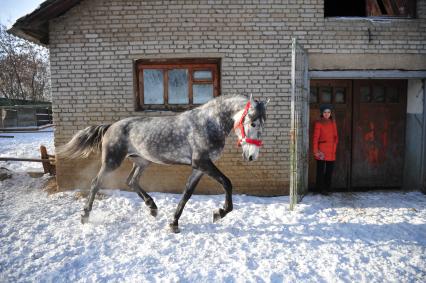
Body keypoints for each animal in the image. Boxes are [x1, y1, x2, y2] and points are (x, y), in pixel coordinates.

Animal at [58, 95, 268, 233]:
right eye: (252, 123)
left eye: (263, 124)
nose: (252, 156)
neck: (209, 123)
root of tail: (110, 126)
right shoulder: (202, 162)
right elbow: (227, 183)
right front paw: (220, 212)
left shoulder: (199, 168)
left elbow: (187, 193)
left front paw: (174, 223)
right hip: (112, 161)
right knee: (96, 183)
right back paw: (85, 216)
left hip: (142, 161)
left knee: (131, 181)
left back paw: (152, 207)